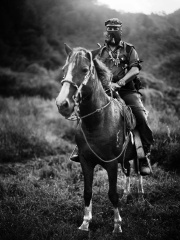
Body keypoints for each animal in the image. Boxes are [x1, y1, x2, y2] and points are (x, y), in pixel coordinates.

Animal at [56, 44, 145, 233]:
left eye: (84, 69)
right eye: (64, 69)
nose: (62, 104)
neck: (97, 122)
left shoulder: (111, 163)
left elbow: (112, 194)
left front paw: (117, 225)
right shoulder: (85, 161)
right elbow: (87, 192)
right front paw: (85, 223)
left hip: (139, 154)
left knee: (140, 171)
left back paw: (141, 196)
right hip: (125, 158)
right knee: (128, 171)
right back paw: (127, 195)